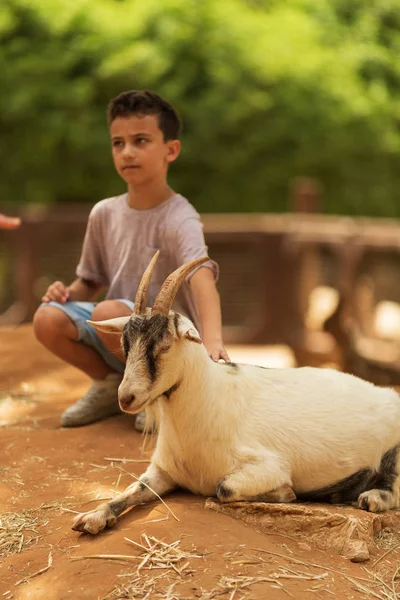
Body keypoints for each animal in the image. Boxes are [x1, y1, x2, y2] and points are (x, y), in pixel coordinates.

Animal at [72, 253, 400, 536]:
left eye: (164, 344)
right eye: (125, 344)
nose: (126, 397)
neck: (210, 400)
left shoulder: (267, 466)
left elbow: (224, 487)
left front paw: (286, 493)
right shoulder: (162, 471)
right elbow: (133, 489)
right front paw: (93, 517)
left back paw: (366, 496)